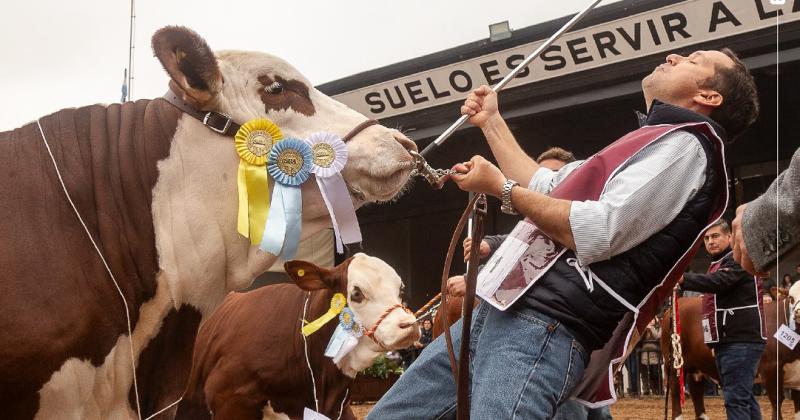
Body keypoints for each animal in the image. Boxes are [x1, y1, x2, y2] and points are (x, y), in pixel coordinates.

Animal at [660, 296, 800, 418]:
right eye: (792, 297)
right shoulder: (771, 369)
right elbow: (777, 402)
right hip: (674, 363)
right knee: (675, 391)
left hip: (696, 366)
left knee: (696, 392)